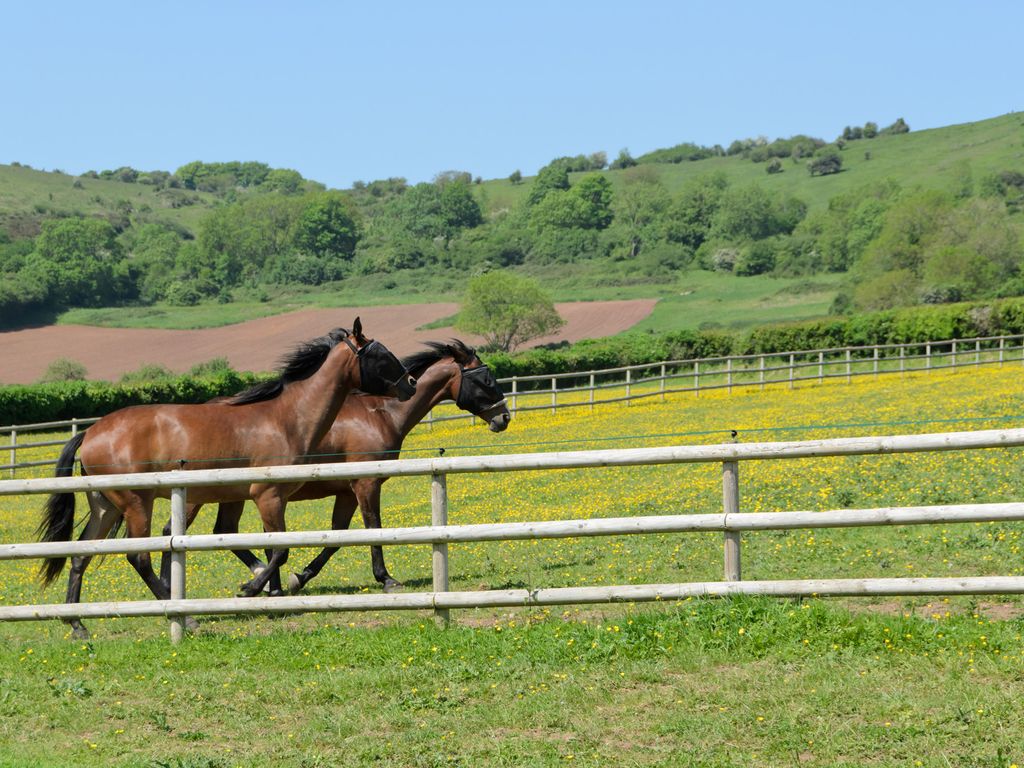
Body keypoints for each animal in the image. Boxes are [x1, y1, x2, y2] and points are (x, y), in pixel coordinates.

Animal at [38, 319, 415, 638]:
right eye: (380, 354)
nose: (410, 384)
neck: (286, 418)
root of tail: (90, 433)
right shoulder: (268, 496)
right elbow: (280, 550)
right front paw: (253, 588)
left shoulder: (248, 498)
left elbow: (264, 545)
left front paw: (269, 590)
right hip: (136, 504)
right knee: (139, 558)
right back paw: (187, 618)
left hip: (106, 507)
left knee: (80, 555)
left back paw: (78, 625)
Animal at [165, 342, 512, 593]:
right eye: (485, 378)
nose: (504, 418)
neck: (380, 413)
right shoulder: (366, 485)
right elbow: (373, 528)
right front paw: (386, 579)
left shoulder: (346, 492)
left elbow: (336, 536)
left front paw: (300, 576)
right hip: (199, 496)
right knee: (173, 532)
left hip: (232, 495)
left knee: (223, 531)